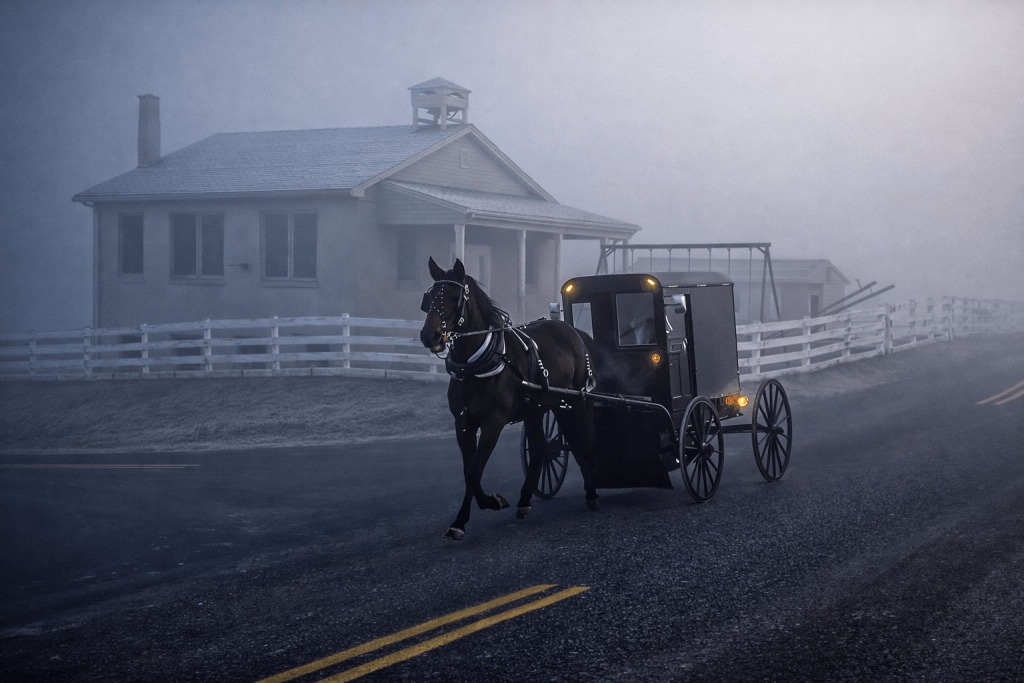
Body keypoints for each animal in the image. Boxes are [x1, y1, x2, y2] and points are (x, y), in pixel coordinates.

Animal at [419, 257, 598, 541]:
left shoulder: (494, 422)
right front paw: (490, 502)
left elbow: (474, 471)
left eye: (454, 297)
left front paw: (462, 521)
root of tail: (572, 330)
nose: (430, 335)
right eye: (429, 297)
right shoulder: (463, 423)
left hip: (576, 401)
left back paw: (591, 493)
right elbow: (469, 471)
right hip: (539, 407)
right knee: (539, 449)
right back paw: (525, 501)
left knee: (586, 442)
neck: (477, 364)